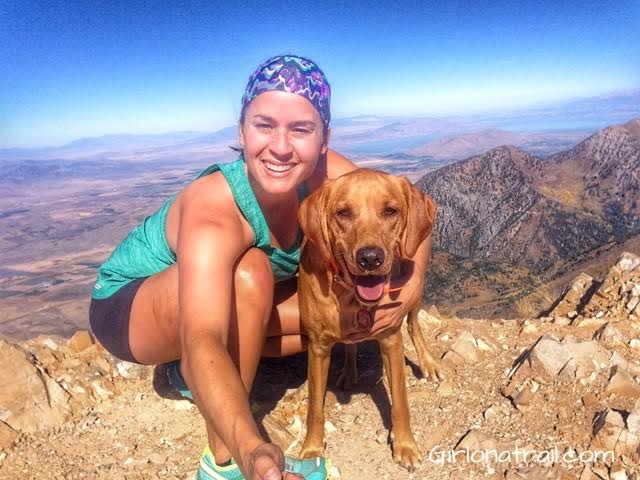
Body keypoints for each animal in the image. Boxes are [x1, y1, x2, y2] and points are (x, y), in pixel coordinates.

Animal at [298, 168, 442, 468]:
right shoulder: (318, 348)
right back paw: (349, 370)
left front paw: (405, 444)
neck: (352, 296)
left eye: (390, 210)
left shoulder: (390, 341)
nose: (370, 258)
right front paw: (312, 448)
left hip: (412, 294)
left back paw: (428, 363)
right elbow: (315, 407)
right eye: (343, 213)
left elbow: (400, 401)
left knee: (414, 326)